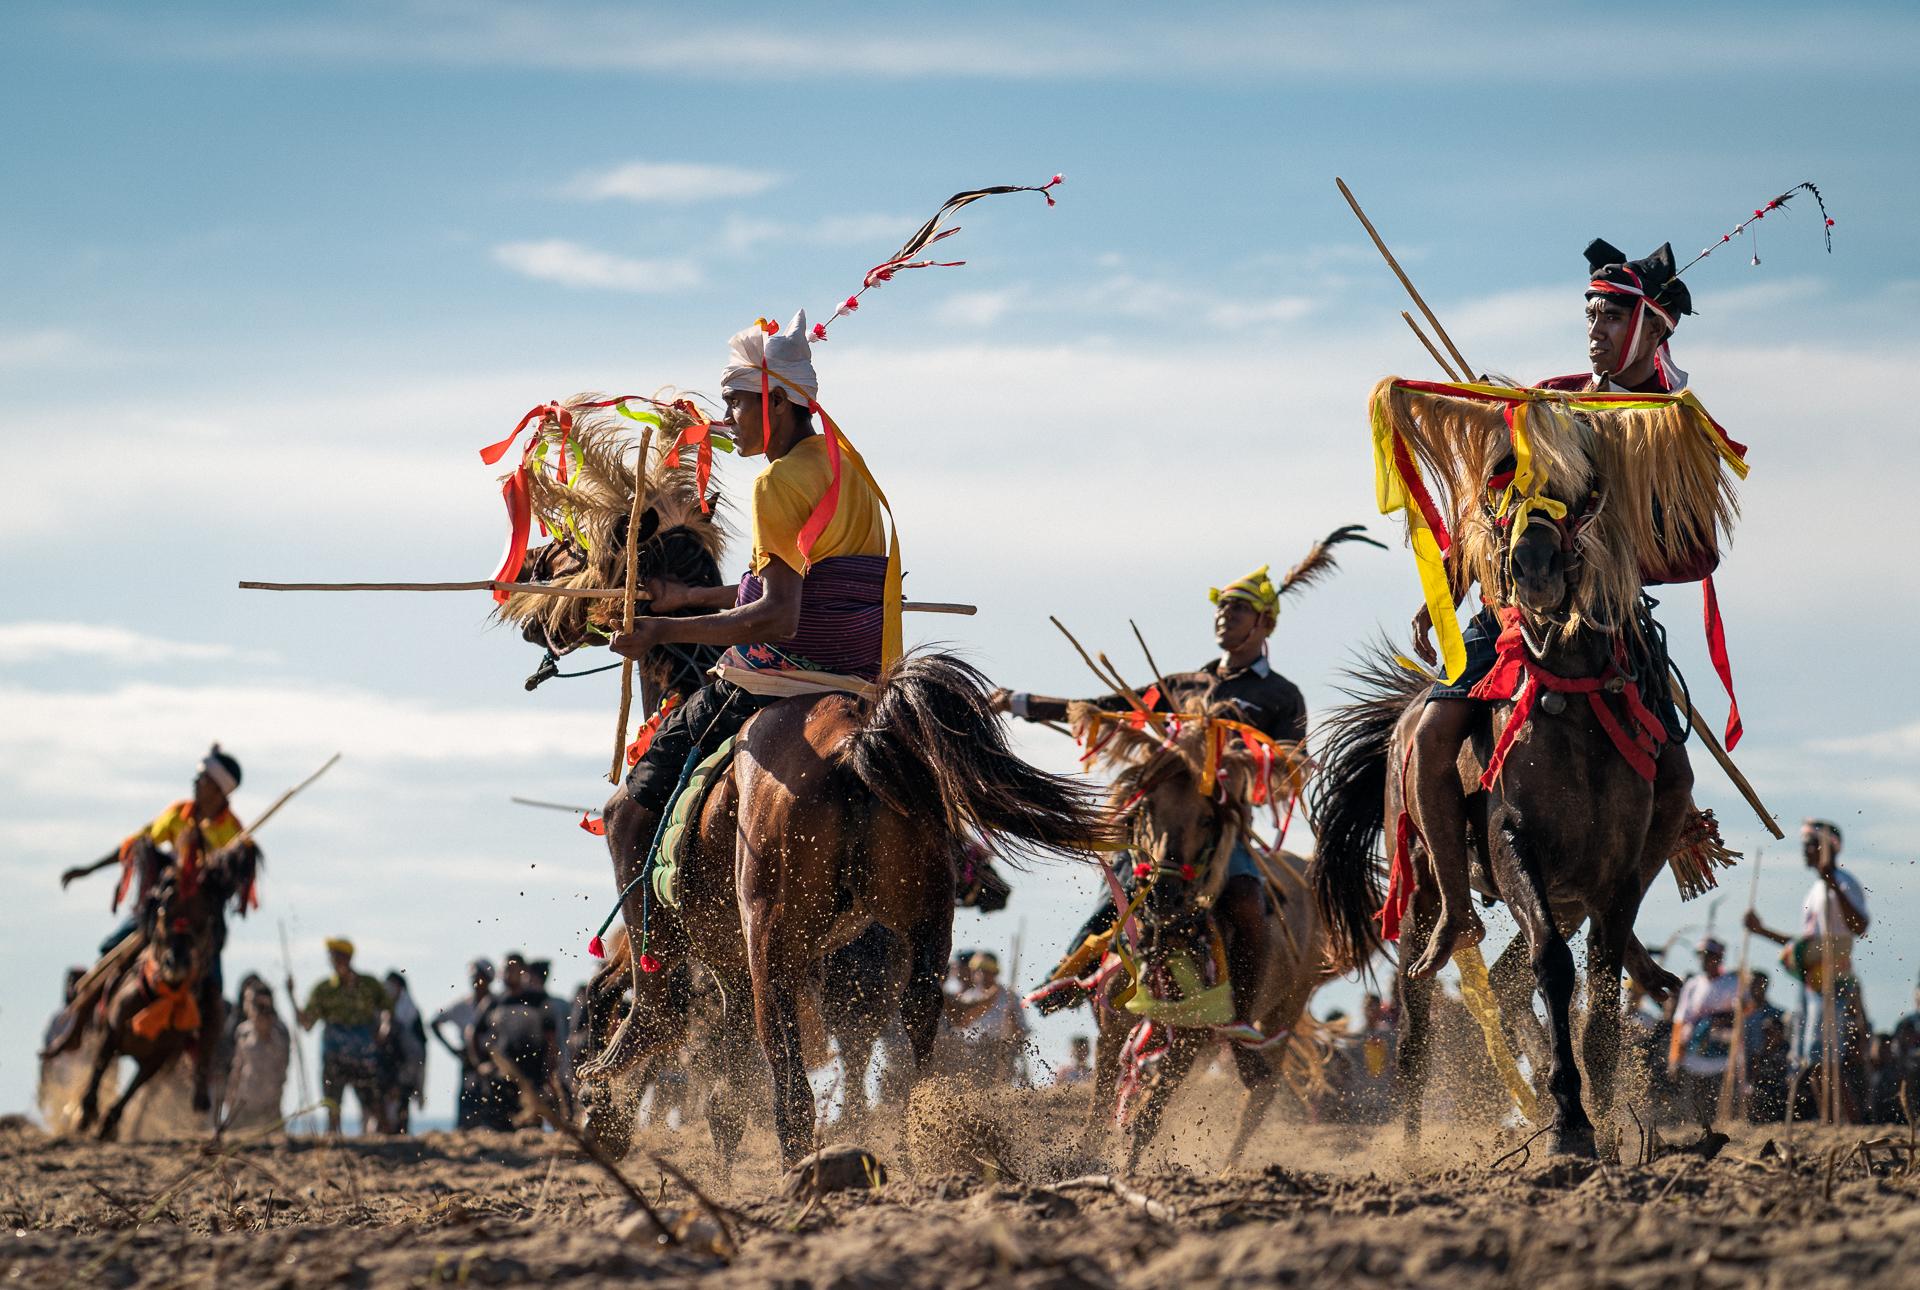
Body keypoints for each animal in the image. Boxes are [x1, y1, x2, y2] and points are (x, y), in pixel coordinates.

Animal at [576, 656, 1105, 1167]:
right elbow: (727, 1101)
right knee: (916, 1031)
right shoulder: (739, 973)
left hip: (772, 951)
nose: (997, 890)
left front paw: (605, 1107)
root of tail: (853, 744)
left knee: (783, 1082)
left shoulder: (735, 967)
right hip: (922, 931)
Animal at [1305, 378, 1743, 1151]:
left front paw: (1601, 1110)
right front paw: (1569, 1116)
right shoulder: (1515, 845)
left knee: (1512, 988)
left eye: (1584, 489)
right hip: (1423, 890)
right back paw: (1417, 1146)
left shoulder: (1614, 873)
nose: (1534, 569)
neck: (1569, 697)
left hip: (1567, 897)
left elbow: (1601, 983)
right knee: (1418, 1024)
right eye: (1501, 482)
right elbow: (1553, 967)